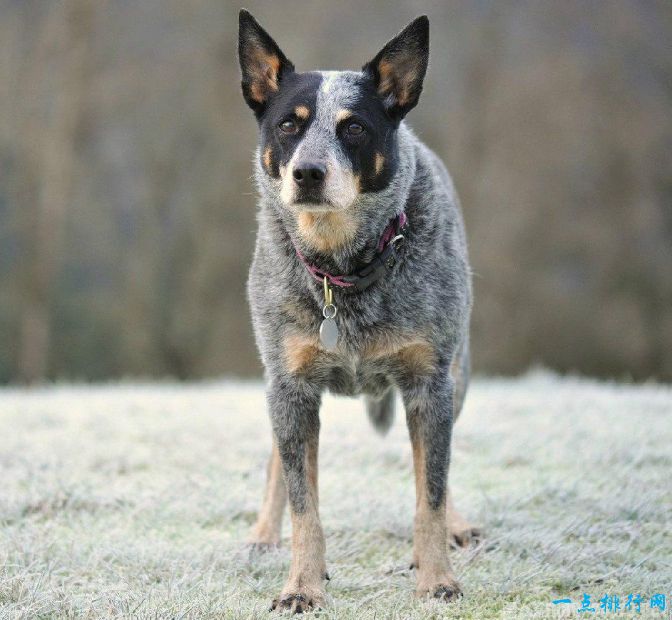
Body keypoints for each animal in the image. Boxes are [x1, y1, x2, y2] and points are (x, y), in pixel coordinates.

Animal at [236, 8, 478, 612]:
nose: (308, 173)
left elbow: (430, 491)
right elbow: (304, 502)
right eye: (289, 125)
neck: (342, 269)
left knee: (437, 465)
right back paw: (263, 534)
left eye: (354, 128)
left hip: (457, 375)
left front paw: (436, 579)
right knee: (279, 462)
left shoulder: (429, 383)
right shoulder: (291, 386)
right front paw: (302, 586)